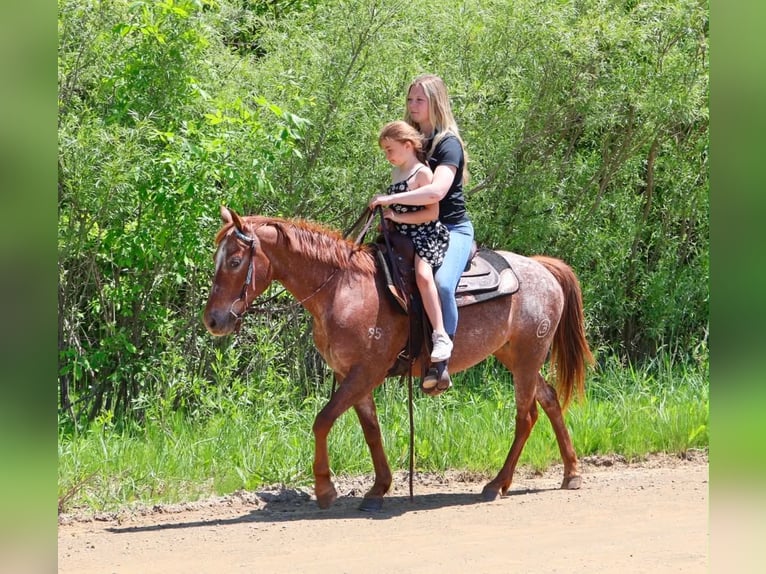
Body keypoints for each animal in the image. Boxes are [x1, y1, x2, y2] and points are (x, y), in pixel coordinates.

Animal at [203, 205, 594, 511]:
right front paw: (378, 488)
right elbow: (371, 430)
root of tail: (542, 268)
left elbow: (323, 420)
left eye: (235, 261)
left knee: (525, 417)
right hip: (514, 355)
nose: (213, 320)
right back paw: (571, 472)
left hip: (527, 357)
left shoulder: (366, 371)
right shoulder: (352, 374)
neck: (341, 288)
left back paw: (497, 484)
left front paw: (325, 489)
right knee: (549, 400)